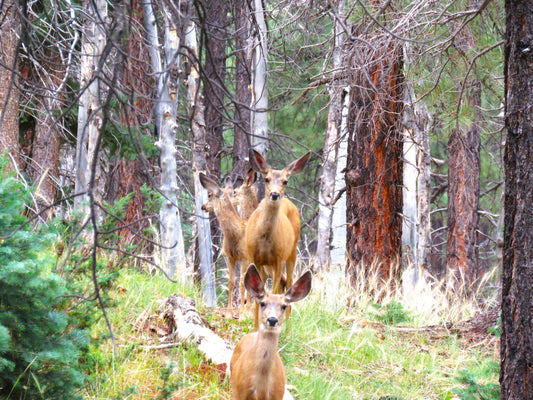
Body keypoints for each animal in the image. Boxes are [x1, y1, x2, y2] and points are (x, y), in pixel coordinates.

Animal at [200, 173, 247, 314]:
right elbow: (231, 283)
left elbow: (242, 283)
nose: (203, 206)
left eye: (210, 194)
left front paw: (242, 313)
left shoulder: (245, 257)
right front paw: (228, 312)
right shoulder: (229, 256)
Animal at [230, 262, 312, 400]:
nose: (272, 319)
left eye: (284, 306)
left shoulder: (277, 394)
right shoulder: (238, 393)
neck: (261, 386)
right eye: (262, 303)